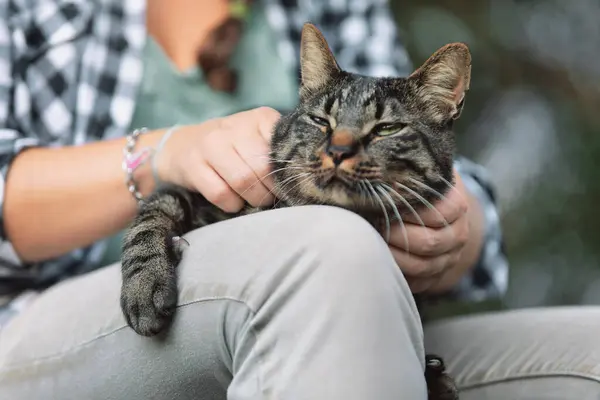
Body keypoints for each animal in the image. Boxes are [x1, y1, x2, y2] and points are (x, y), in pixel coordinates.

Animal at [120, 23, 468, 398]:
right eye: (320, 120)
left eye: (387, 128)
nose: (339, 151)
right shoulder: (188, 191)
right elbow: (148, 221)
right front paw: (144, 289)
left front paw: (434, 377)